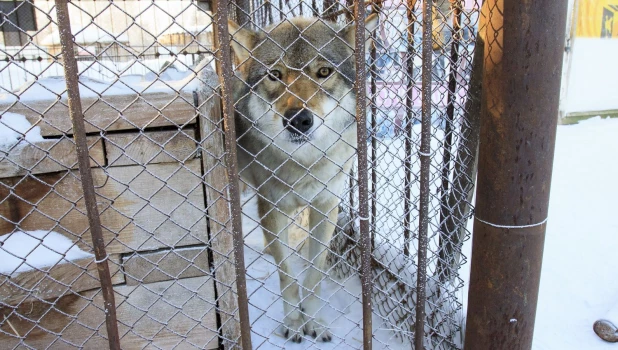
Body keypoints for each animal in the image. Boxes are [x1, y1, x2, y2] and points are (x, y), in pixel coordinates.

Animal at [227, 15, 376, 344]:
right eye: (275, 74)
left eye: (324, 72)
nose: (298, 120)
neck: (304, 163)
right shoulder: (272, 208)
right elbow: (287, 276)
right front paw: (294, 323)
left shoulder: (326, 208)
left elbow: (314, 274)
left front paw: (315, 321)